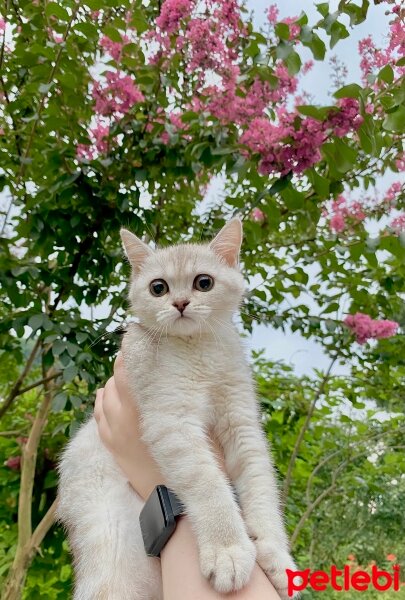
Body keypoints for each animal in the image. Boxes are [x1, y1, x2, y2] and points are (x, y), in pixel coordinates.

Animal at [56, 220, 296, 600]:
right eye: (158, 287)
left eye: (204, 282)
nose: (180, 303)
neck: (198, 349)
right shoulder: (171, 422)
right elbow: (209, 486)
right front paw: (228, 551)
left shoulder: (242, 424)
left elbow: (261, 490)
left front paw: (275, 555)